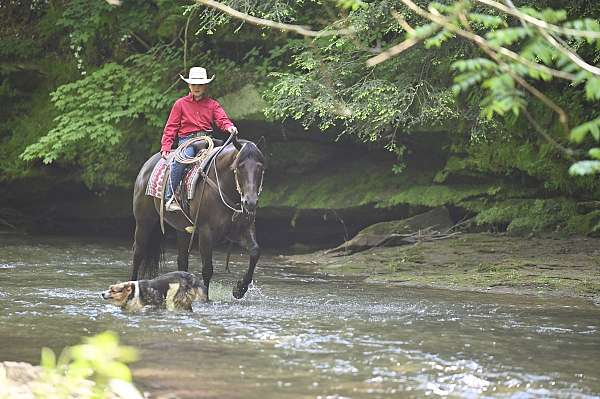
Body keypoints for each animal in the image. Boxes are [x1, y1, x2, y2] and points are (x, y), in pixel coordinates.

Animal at [132, 137, 266, 300]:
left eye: (260, 167)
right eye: (240, 166)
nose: (250, 202)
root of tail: (147, 165)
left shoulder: (243, 229)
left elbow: (255, 252)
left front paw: (240, 289)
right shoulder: (205, 233)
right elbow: (207, 268)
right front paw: (205, 299)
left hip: (182, 230)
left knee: (182, 261)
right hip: (144, 222)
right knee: (138, 253)